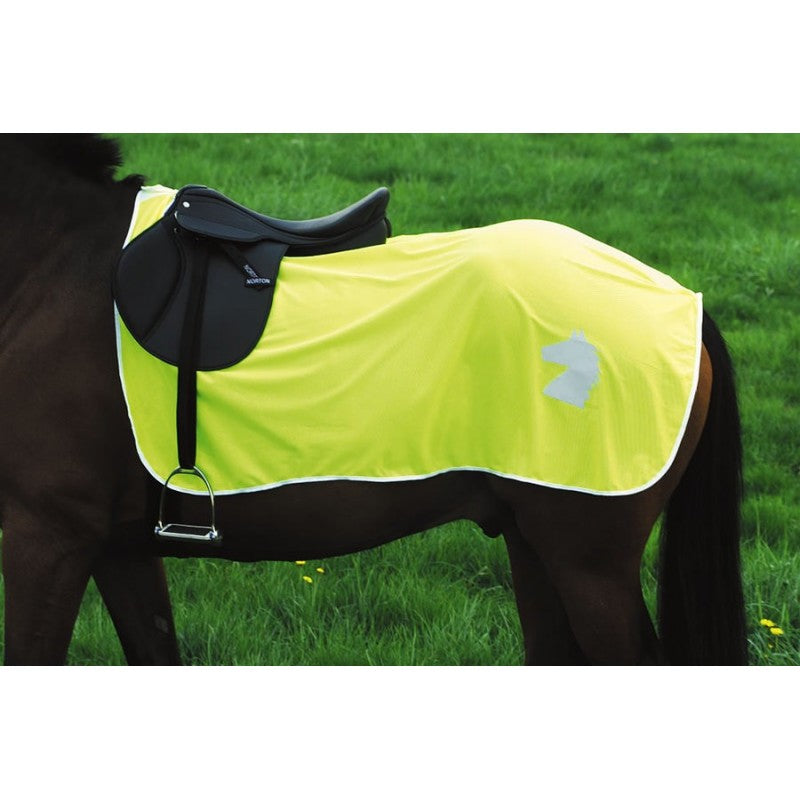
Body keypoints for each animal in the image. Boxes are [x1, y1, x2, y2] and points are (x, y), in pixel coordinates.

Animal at [0, 134, 747, 666]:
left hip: (588, 561)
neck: (52, 265)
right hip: (534, 543)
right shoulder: (118, 545)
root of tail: (681, 302)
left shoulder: (49, 534)